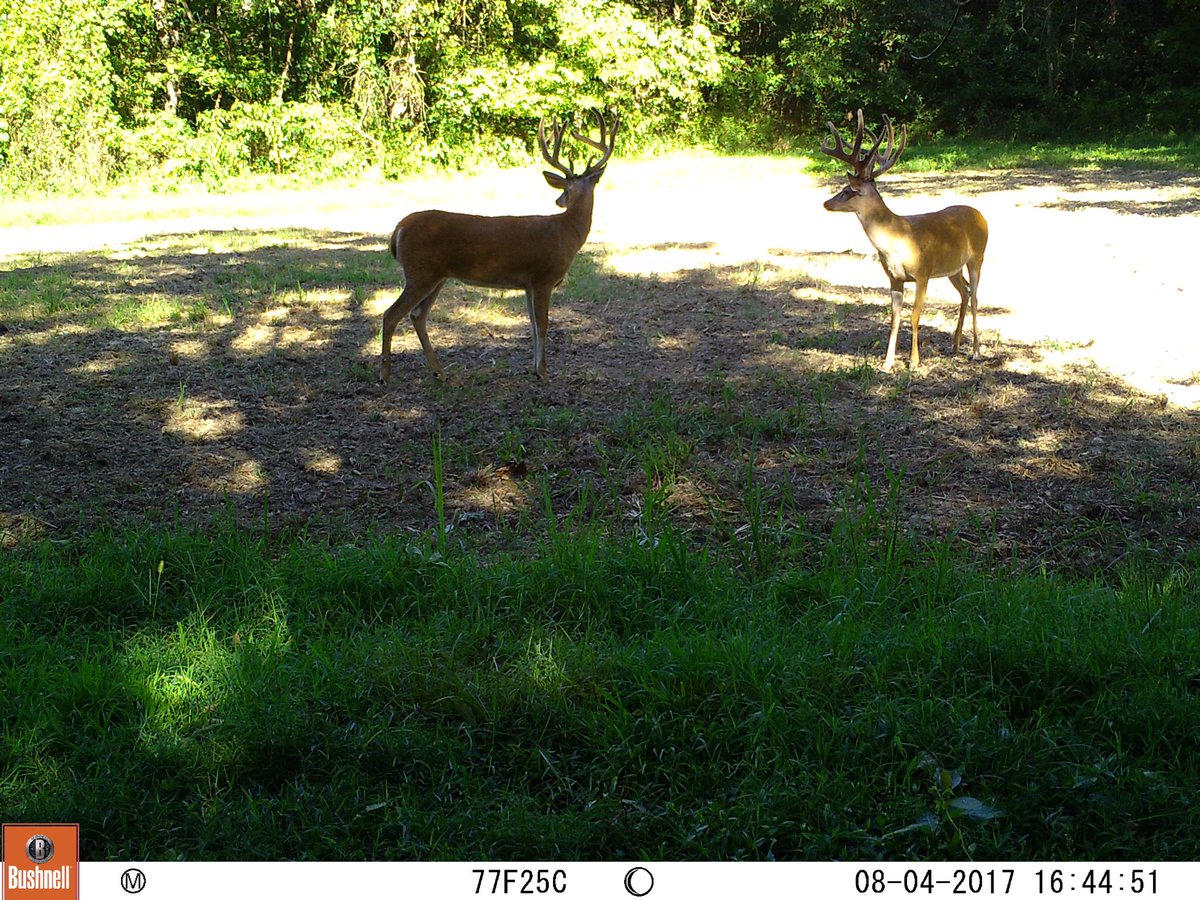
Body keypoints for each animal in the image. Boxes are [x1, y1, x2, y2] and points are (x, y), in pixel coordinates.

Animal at [380, 109, 620, 383]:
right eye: (565, 189)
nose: (559, 200)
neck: (567, 231)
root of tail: (398, 228)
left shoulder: (528, 284)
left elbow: (533, 325)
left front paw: (534, 368)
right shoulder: (543, 278)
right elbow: (543, 324)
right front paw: (544, 372)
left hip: (435, 276)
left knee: (417, 315)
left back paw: (440, 372)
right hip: (420, 273)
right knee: (391, 314)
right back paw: (385, 375)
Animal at [820, 109, 988, 371]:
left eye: (847, 191)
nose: (826, 203)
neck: (896, 241)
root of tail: (981, 215)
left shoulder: (923, 273)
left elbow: (915, 315)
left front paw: (914, 362)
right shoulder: (894, 278)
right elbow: (894, 318)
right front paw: (887, 363)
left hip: (977, 257)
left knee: (976, 296)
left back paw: (976, 351)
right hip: (953, 268)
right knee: (966, 292)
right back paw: (955, 345)